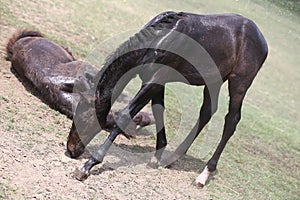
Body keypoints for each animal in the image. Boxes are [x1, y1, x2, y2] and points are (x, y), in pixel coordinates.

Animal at [71, 10, 268, 187]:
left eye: (83, 118)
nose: (71, 149)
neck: (160, 39)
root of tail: (262, 40)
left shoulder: (154, 80)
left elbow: (125, 115)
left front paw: (88, 166)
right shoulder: (156, 81)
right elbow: (158, 110)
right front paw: (156, 158)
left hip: (239, 83)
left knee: (231, 120)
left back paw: (203, 175)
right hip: (213, 80)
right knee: (207, 111)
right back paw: (173, 158)